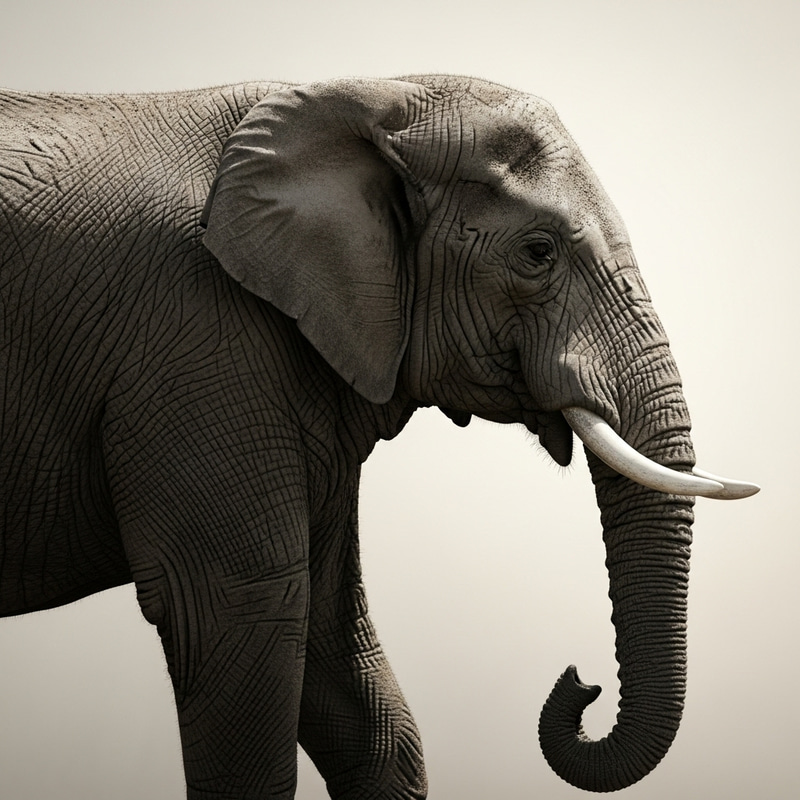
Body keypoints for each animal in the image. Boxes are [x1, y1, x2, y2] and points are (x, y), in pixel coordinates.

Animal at [0, 75, 758, 797]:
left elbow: (341, 646)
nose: (581, 683)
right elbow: (238, 606)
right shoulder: (193, 343)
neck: (374, 100)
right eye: (537, 253)